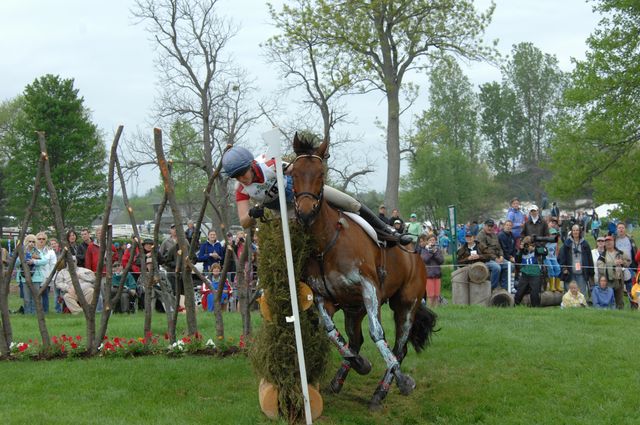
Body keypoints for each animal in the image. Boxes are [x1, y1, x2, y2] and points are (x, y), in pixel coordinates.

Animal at [288, 134, 436, 410]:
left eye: (321, 174)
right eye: (293, 173)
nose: (305, 212)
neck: (326, 244)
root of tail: (417, 254)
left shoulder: (370, 289)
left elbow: (378, 335)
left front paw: (404, 382)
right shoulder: (322, 296)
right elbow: (331, 332)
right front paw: (360, 363)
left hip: (405, 305)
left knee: (399, 347)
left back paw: (381, 391)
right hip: (353, 309)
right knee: (356, 341)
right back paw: (339, 381)